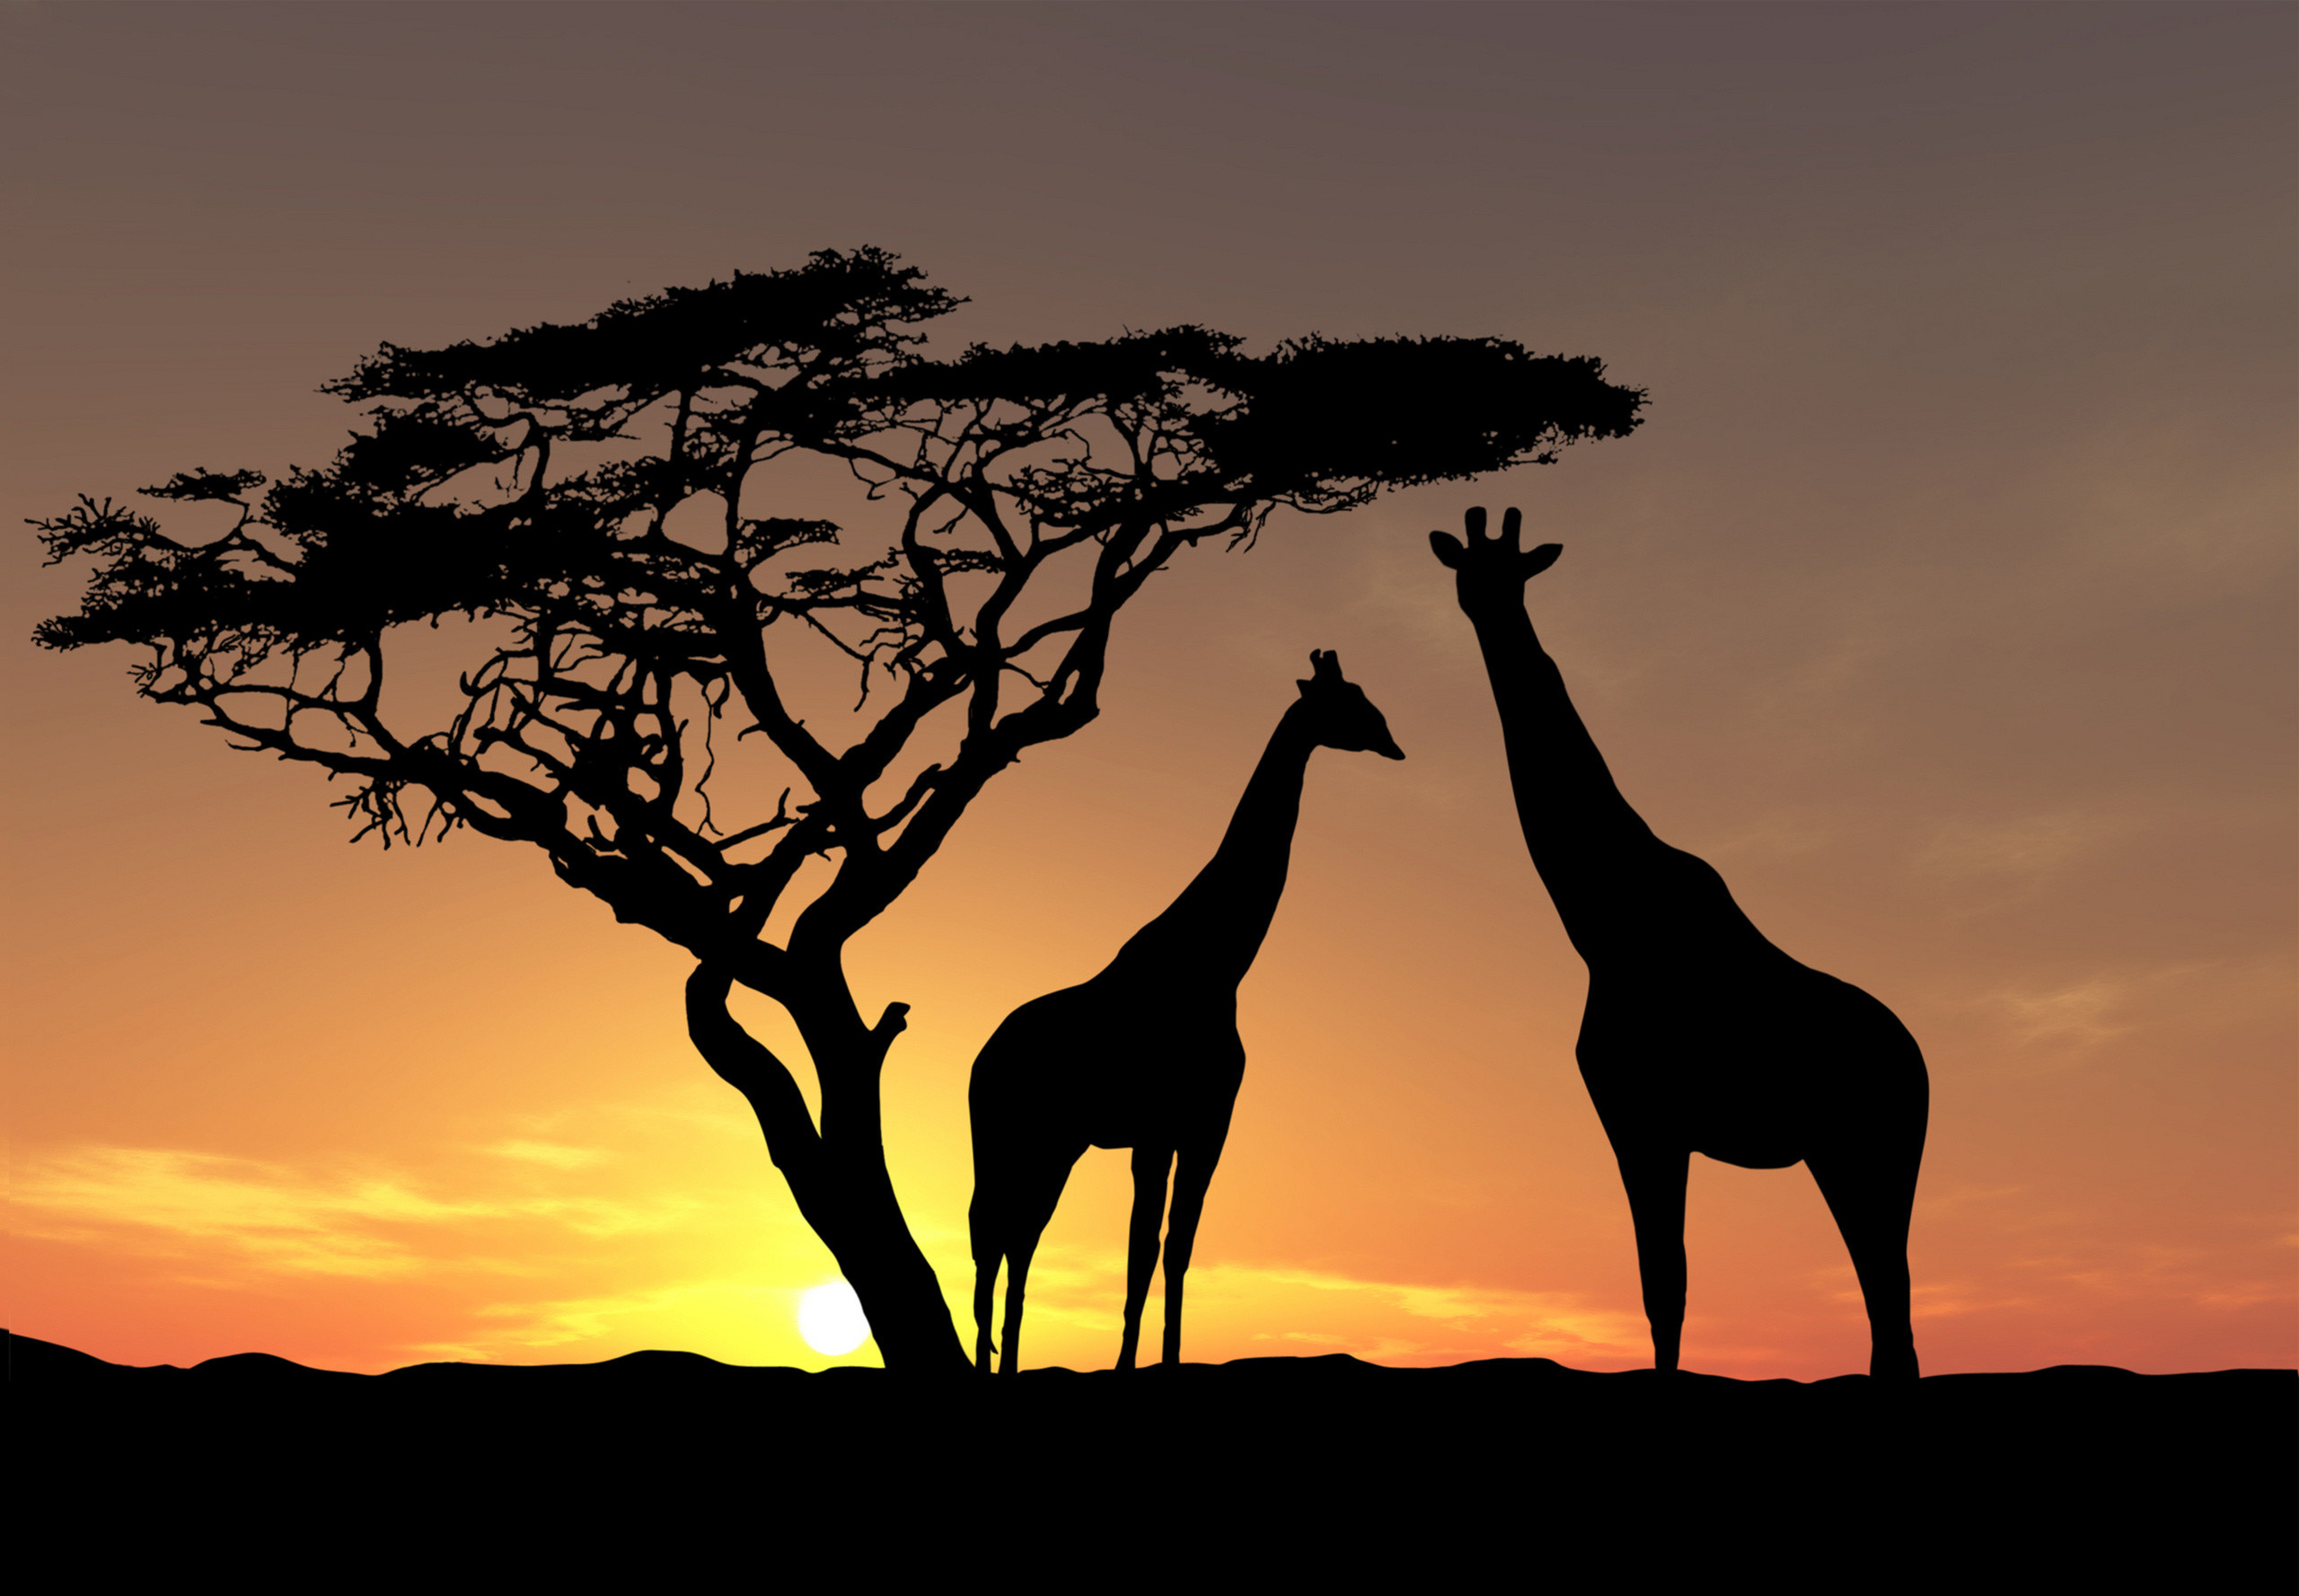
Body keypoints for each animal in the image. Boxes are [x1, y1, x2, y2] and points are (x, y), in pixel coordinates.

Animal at [968, 650, 1405, 1374]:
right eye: (1348, 703)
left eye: (1368, 699)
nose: (1394, 743)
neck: (1218, 965)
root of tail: (981, 1058)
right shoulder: (1157, 1126)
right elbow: (1142, 1246)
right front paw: (1125, 1366)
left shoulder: (1205, 1123)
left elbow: (1178, 1246)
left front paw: (1167, 1361)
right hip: (1014, 1134)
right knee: (995, 1230)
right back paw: (990, 1362)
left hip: (1055, 1143)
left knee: (1015, 1233)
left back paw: (1002, 1360)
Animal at [1432, 506, 1927, 1379]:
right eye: (1468, 570)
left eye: (1515, 573)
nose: (1488, 610)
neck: (1603, 922)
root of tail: (1924, 1070)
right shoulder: (1642, 1117)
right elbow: (1663, 1286)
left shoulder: (1643, 1114)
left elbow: (1665, 1284)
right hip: (1852, 1156)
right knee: (1888, 1312)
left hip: (1868, 1151)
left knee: (1889, 1305)